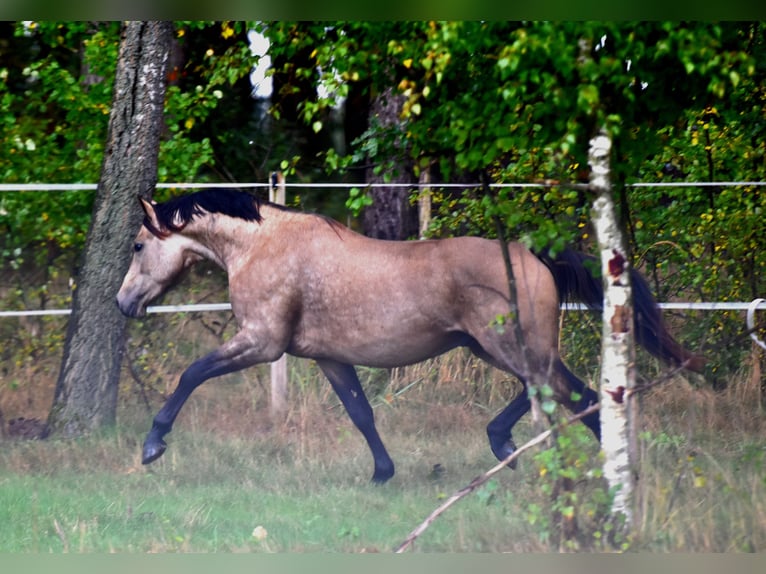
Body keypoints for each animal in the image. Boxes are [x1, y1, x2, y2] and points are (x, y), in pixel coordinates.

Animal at [115, 190, 708, 486]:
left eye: (139, 245)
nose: (123, 303)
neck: (263, 246)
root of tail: (532, 254)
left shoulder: (262, 343)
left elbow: (191, 373)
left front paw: (152, 445)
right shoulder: (329, 359)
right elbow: (361, 414)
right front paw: (383, 475)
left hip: (508, 346)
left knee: (571, 393)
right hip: (496, 347)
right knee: (556, 391)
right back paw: (513, 445)